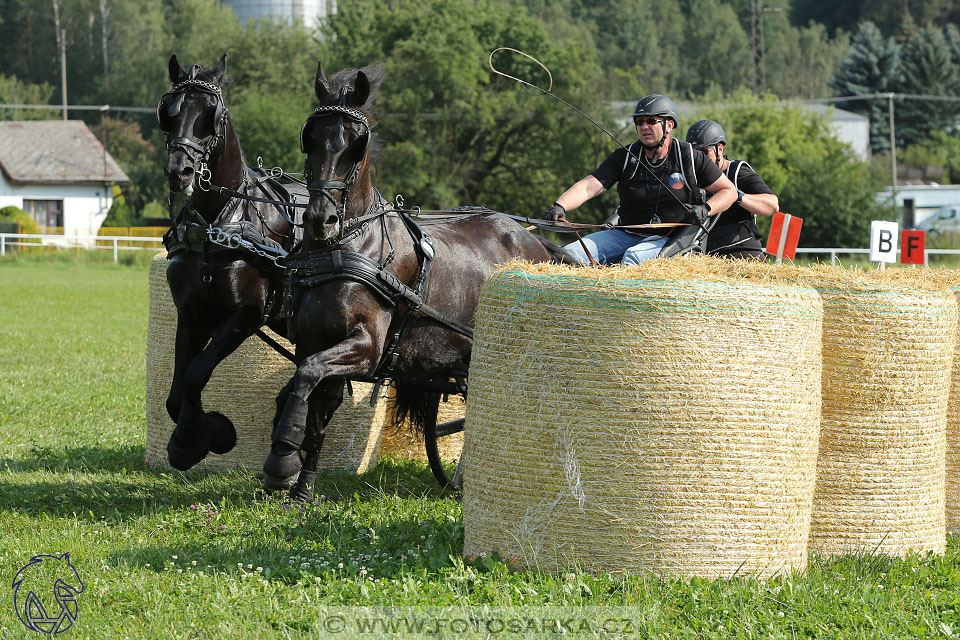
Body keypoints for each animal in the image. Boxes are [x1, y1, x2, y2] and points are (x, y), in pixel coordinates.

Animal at [159, 53, 306, 470]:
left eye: (211, 114)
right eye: (168, 112)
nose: (179, 171)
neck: (219, 220)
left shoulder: (246, 314)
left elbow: (194, 375)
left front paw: (200, 437)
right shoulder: (192, 314)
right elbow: (176, 395)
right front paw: (194, 436)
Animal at [262, 61, 568, 500]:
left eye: (357, 143)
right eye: (311, 138)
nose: (321, 219)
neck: (346, 245)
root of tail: (534, 241)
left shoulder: (366, 347)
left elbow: (305, 383)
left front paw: (282, 461)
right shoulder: (313, 343)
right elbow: (314, 412)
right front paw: (301, 490)